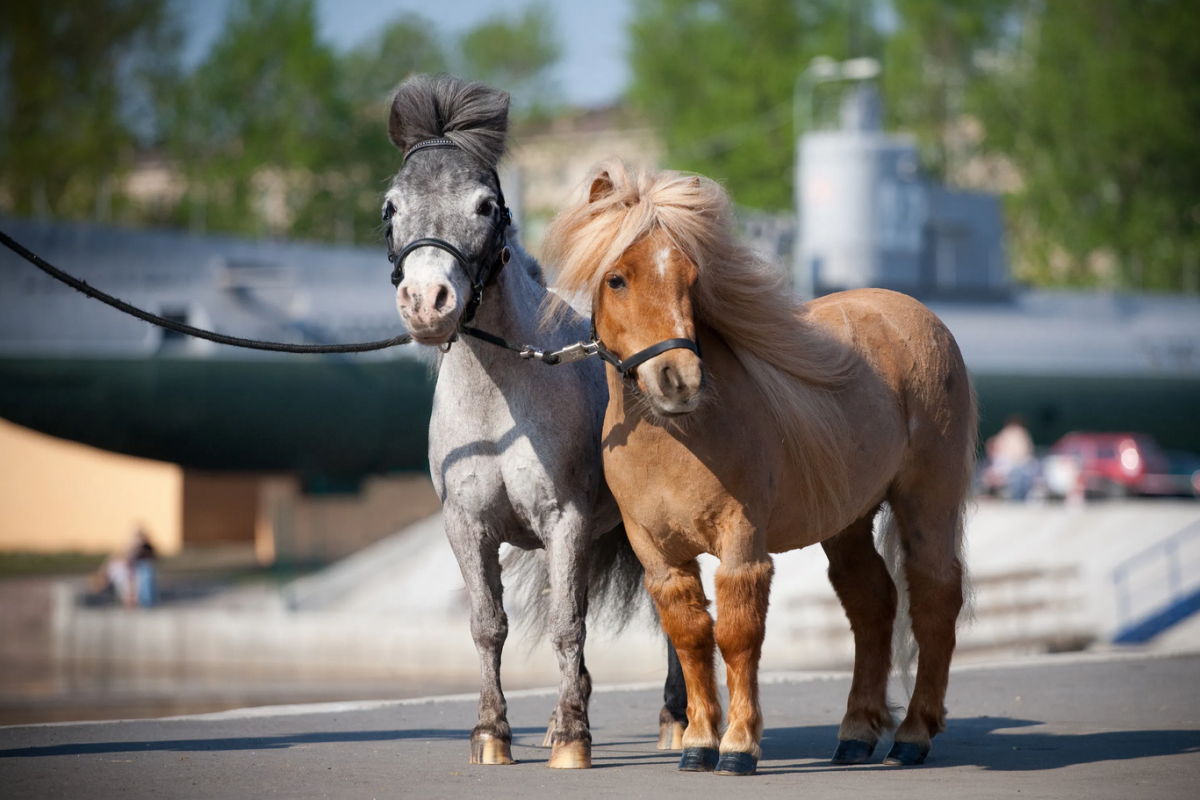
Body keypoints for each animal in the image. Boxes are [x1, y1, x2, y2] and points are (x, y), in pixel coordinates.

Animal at [381, 76, 686, 767]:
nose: (426, 303)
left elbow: (568, 626)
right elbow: (488, 626)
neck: (501, 407)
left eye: (485, 206)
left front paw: (573, 738)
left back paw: (678, 719)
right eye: (390, 208)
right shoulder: (467, 528)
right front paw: (493, 734)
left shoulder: (565, 521)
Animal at [544, 159, 974, 777]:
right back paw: (855, 734)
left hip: (927, 502)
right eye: (617, 279)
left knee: (935, 598)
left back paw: (914, 734)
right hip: (847, 521)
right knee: (872, 604)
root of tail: (920, 315)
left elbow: (737, 636)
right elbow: (692, 638)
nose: (679, 380)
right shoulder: (659, 556)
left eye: (691, 277)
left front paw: (739, 746)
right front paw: (699, 742)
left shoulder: (742, 542)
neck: (679, 440)